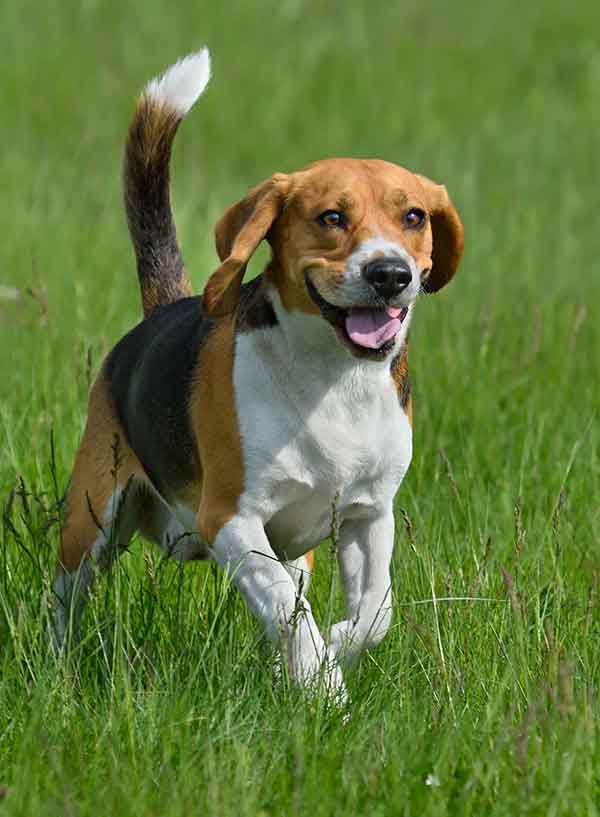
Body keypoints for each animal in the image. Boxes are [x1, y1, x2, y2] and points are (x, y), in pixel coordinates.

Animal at [54, 47, 464, 696]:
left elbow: (374, 610)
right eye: (331, 217)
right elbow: (288, 613)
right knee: (64, 606)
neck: (335, 379)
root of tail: (164, 309)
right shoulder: (231, 520)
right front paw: (324, 685)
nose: (390, 273)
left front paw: (337, 646)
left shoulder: (370, 513)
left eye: (414, 216)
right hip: (89, 520)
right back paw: (56, 673)